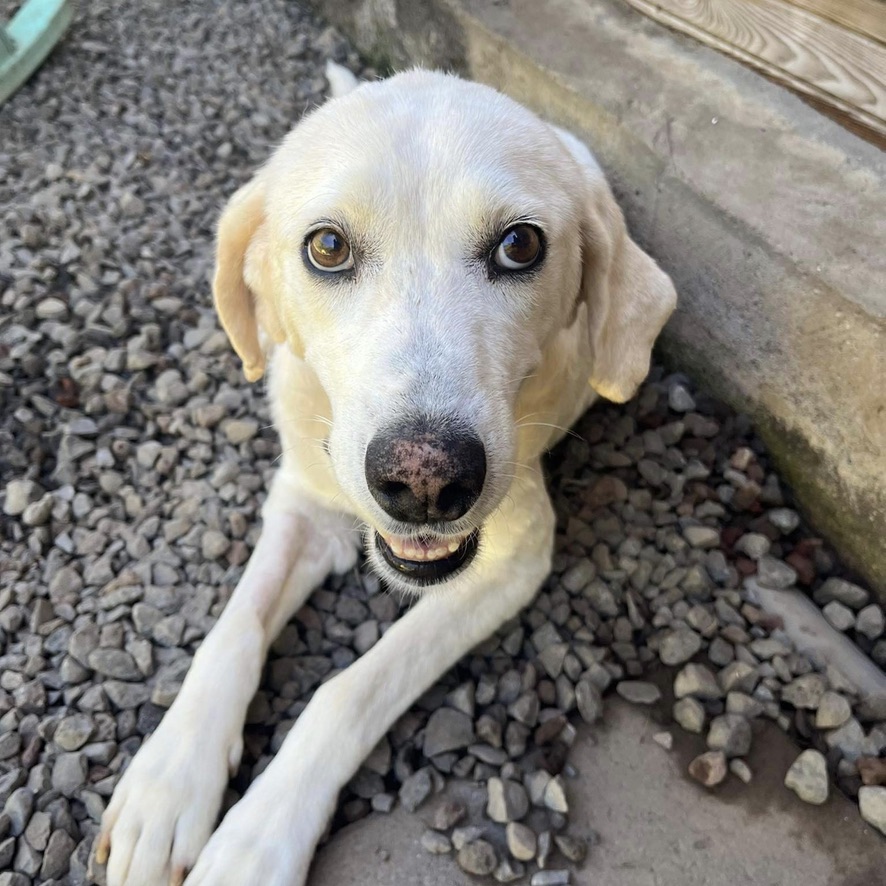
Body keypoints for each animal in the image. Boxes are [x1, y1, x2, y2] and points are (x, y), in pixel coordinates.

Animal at [97, 64, 676, 886]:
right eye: (328, 246)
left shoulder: (515, 556)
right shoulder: (302, 508)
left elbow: (347, 691)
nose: (426, 480)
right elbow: (233, 631)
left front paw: (255, 839)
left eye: (520, 244)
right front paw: (167, 783)